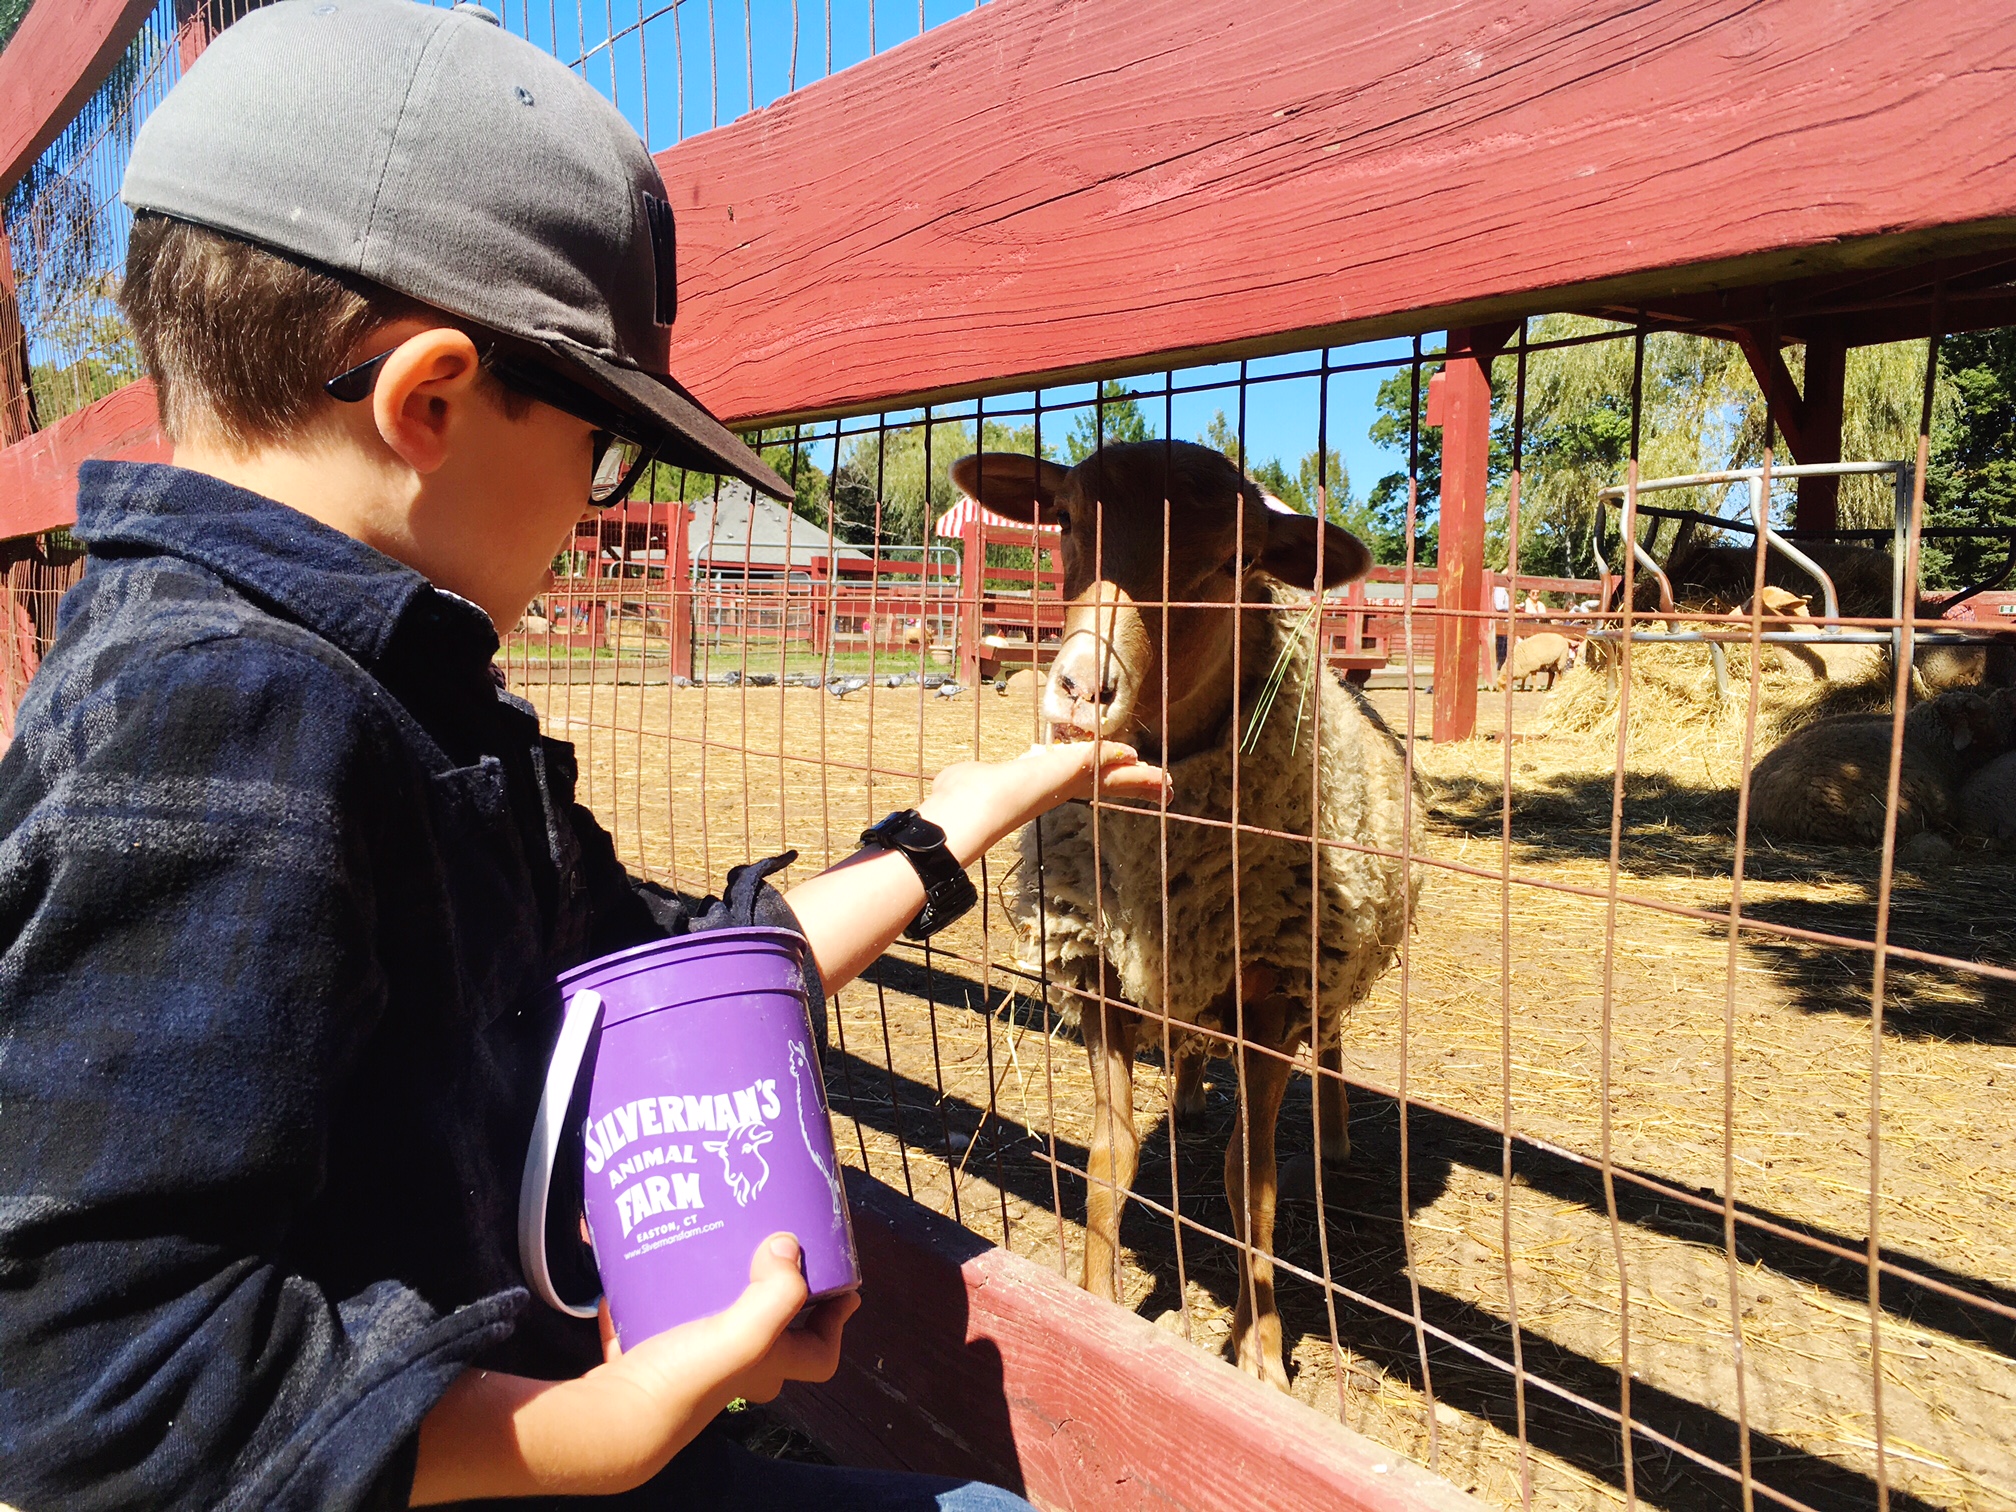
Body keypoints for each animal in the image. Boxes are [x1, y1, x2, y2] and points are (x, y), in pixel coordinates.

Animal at [947, 441, 1411, 1395]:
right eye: (1067, 520)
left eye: (1237, 562)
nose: (1079, 688)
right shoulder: (1102, 978)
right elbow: (1110, 1155)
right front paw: (1096, 1303)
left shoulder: (1275, 997)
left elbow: (1252, 1182)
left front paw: (1261, 1354)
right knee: (1194, 1043)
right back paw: (1193, 1095)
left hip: (1326, 957)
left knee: (1332, 1039)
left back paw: (1336, 1133)